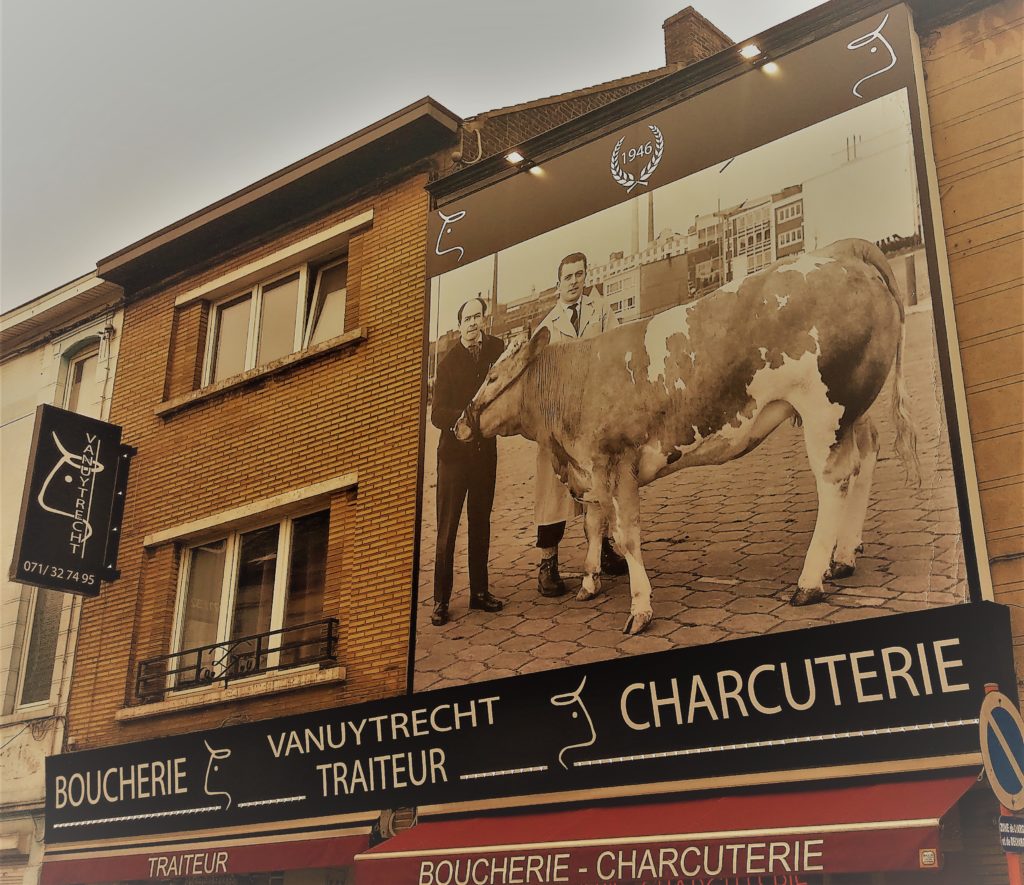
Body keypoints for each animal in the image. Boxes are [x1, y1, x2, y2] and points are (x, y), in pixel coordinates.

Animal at [456, 238, 921, 630]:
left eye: (492, 376)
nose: (461, 422)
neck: (574, 380)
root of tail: (842, 249)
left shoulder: (617, 463)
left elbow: (626, 536)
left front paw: (640, 608)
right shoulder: (589, 469)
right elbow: (592, 525)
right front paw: (589, 583)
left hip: (825, 411)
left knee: (834, 481)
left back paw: (810, 581)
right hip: (854, 409)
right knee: (866, 457)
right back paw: (844, 556)